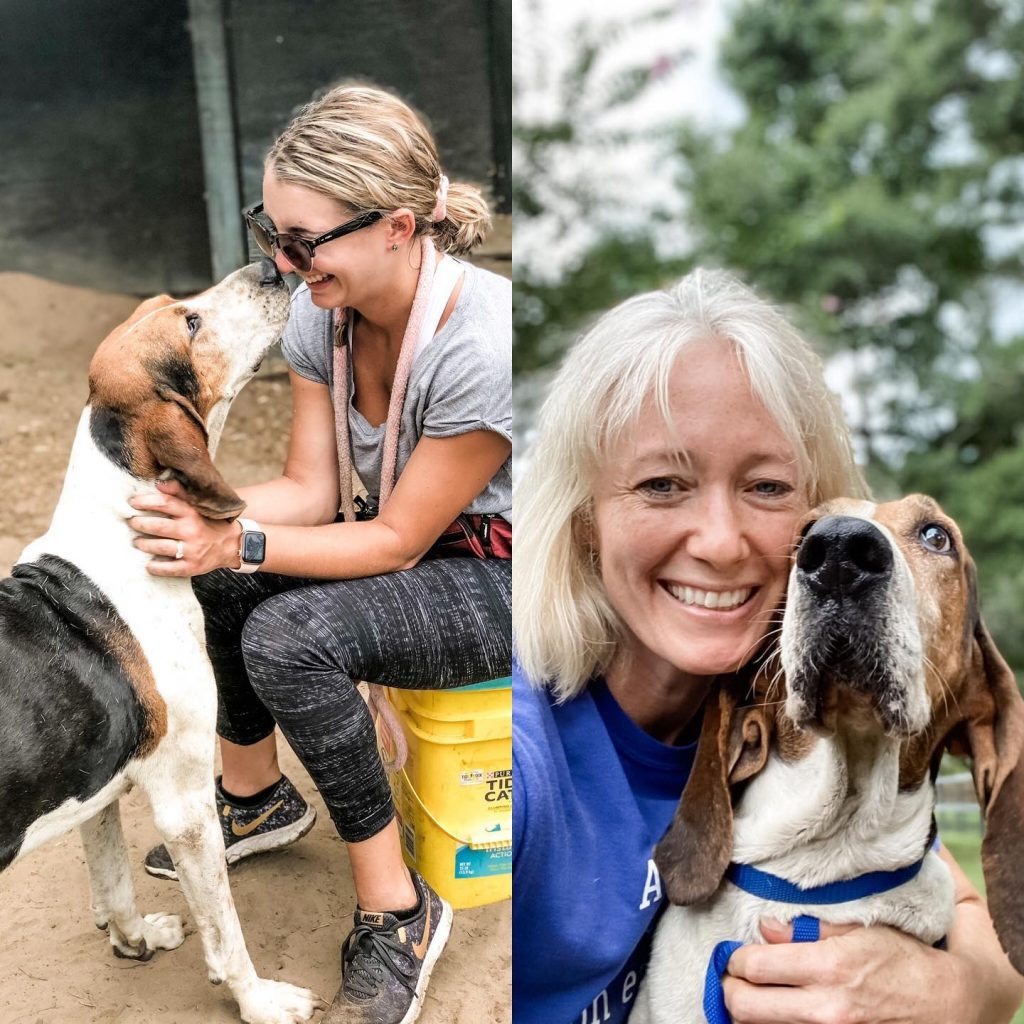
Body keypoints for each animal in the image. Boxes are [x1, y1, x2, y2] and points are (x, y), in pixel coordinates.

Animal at [1, 262, 319, 1024]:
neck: (120, 527)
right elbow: (226, 929)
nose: (270, 267)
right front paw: (259, 999)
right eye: (191, 324)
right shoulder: (185, 802)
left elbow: (112, 880)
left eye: (181, 306)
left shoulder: (98, 784)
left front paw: (134, 939)